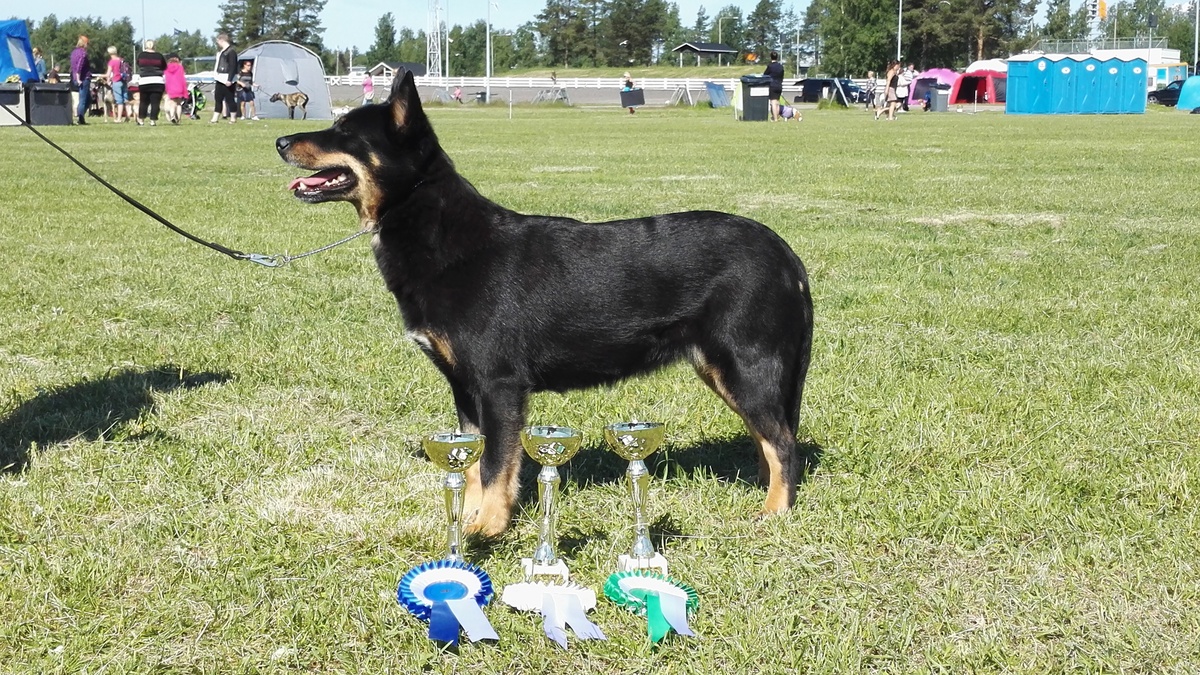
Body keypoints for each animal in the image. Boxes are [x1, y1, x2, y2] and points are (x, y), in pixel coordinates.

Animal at [276, 71, 814, 537]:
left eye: (345, 132)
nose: (280, 142)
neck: (437, 232)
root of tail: (786, 254)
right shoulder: (466, 392)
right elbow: (473, 468)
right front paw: (467, 523)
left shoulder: (499, 387)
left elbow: (496, 467)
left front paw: (488, 529)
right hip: (725, 371)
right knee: (770, 441)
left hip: (745, 366)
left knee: (784, 445)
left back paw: (775, 513)